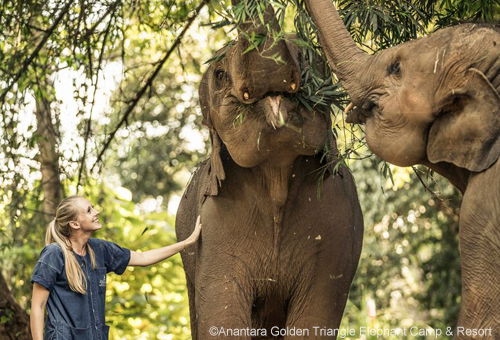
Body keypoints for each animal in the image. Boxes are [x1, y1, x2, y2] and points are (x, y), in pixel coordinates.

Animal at [176, 3, 364, 340]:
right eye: (220, 75)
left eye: (308, 57)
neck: (277, 173)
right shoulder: (213, 230)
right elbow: (222, 319)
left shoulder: (339, 229)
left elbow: (315, 318)